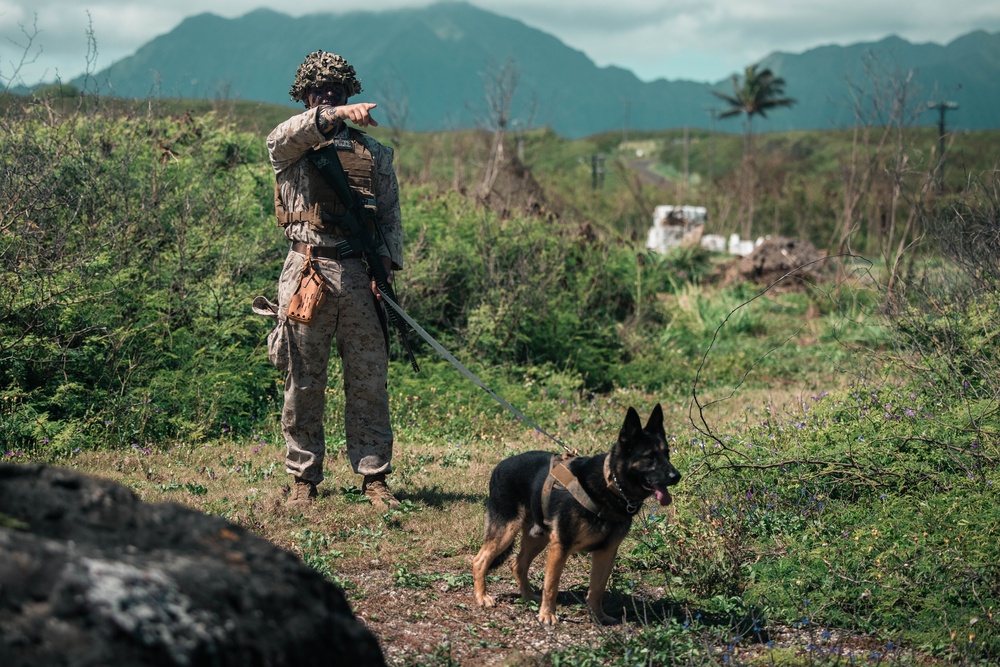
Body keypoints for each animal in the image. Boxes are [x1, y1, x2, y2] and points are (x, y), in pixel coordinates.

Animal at [470, 404, 680, 628]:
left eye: (667, 454)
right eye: (649, 457)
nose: (677, 476)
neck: (609, 485)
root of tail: (500, 465)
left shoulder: (606, 552)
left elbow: (597, 589)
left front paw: (598, 616)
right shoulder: (560, 546)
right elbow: (551, 585)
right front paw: (547, 615)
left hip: (538, 538)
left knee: (518, 565)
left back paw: (528, 597)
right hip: (506, 531)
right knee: (480, 560)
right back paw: (482, 596)